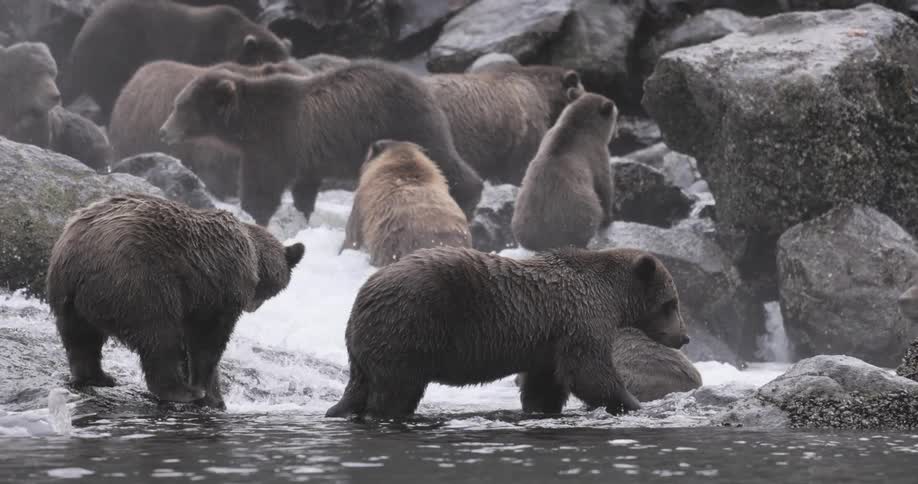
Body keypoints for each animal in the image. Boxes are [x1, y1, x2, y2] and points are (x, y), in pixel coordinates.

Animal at [46, 193, 305, 409]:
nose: (252, 306)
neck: (253, 258)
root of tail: (80, 255)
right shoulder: (218, 290)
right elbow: (206, 341)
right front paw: (208, 394)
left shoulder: (195, 298)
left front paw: (215, 396)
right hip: (139, 282)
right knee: (159, 336)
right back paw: (181, 392)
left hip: (68, 294)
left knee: (80, 338)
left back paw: (97, 377)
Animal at [159, 60, 484, 226]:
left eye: (181, 106)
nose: (163, 131)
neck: (248, 124)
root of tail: (422, 85)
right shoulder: (303, 155)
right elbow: (303, 189)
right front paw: (303, 215)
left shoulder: (274, 143)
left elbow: (262, 189)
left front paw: (253, 215)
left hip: (407, 120)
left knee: (443, 158)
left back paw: (468, 198)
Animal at [324, 246, 689, 420]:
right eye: (670, 303)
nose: (684, 337)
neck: (612, 296)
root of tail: (363, 296)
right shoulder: (581, 319)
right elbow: (590, 372)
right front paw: (634, 403)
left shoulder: (549, 340)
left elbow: (546, 384)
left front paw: (542, 408)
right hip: (410, 326)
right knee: (395, 391)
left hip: (373, 346)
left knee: (363, 387)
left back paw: (339, 409)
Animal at [511, 91, 618, 251]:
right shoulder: (597, 153)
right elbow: (604, 185)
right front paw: (609, 218)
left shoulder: (547, 136)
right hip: (577, 208)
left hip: (521, 213)